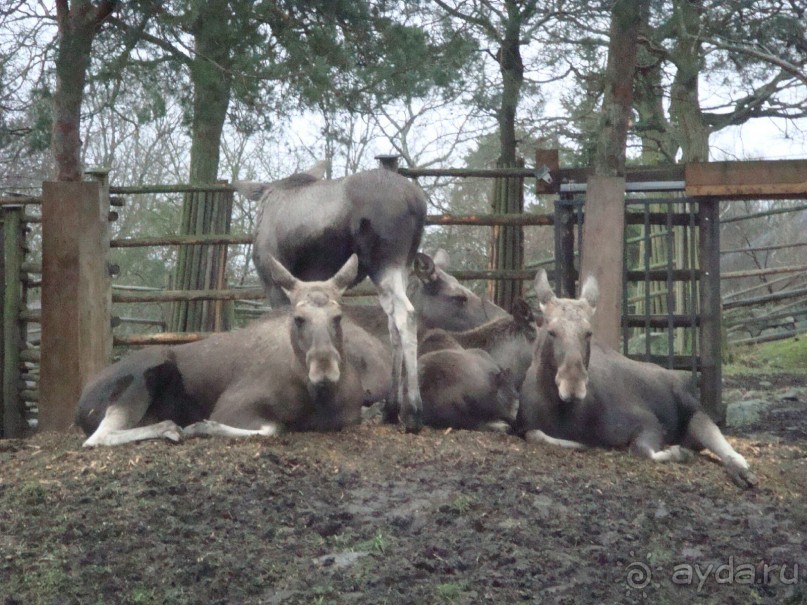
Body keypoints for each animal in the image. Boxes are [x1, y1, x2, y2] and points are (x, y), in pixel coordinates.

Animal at [78, 252, 370, 446]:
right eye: (298, 318)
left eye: (338, 317)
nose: (325, 373)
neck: (316, 397)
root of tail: (79, 407)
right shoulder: (231, 408)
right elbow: (273, 428)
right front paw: (200, 426)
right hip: (144, 374)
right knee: (97, 437)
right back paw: (170, 428)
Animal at [516, 272, 756, 488]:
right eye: (551, 331)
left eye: (588, 332)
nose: (573, 384)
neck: (562, 411)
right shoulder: (526, 427)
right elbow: (536, 434)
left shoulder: (649, 422)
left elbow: (641, 450)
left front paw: (677, 453)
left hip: (694, 411)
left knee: (720, 440)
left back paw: (741, 469)